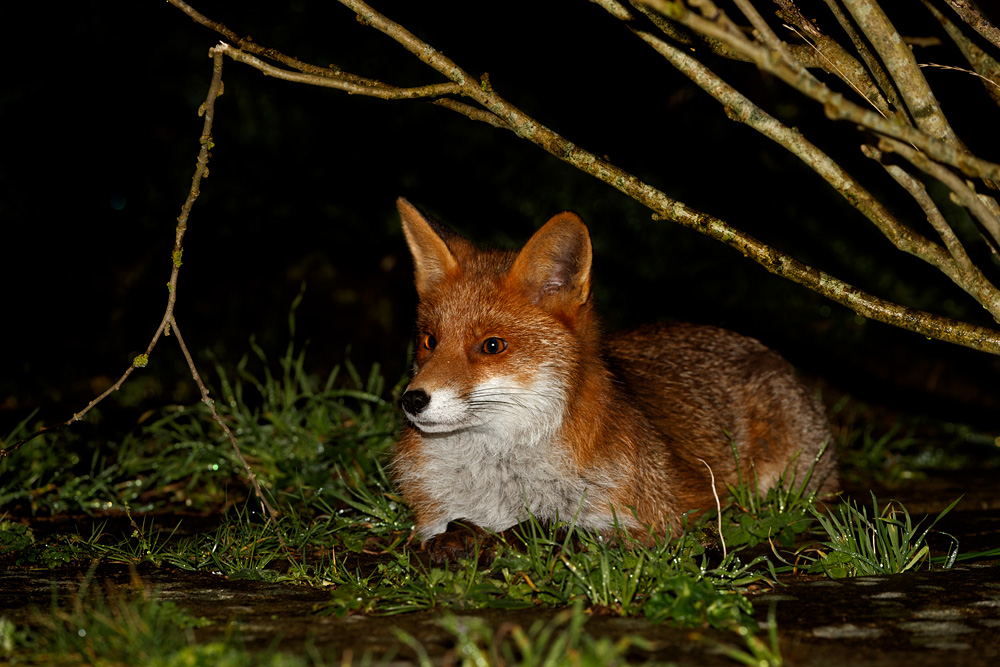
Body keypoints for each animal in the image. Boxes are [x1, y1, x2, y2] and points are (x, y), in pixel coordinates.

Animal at [392, 197, 837, 560]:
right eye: (430, 341)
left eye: (492, 346)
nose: (412, 400)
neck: (501, 479)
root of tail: (761, 347)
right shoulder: (433, 517)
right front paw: (458, 540)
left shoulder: (654, 527)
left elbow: (550, 529)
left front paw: (503, 541)